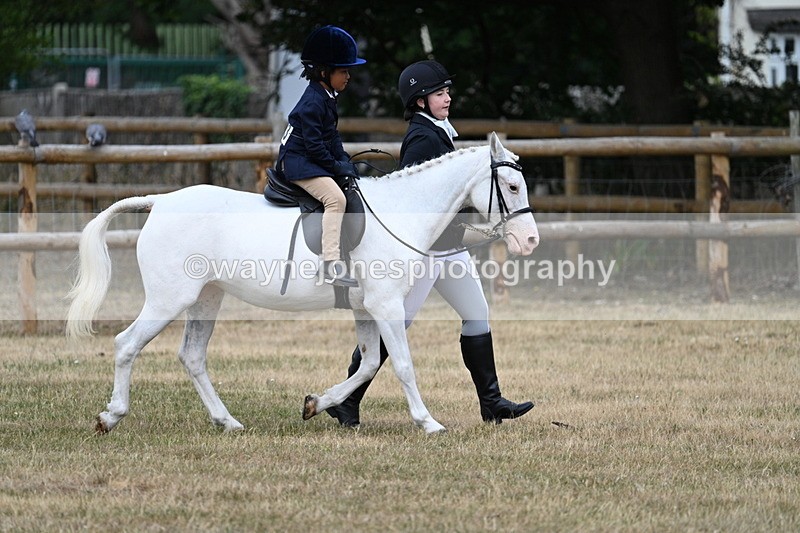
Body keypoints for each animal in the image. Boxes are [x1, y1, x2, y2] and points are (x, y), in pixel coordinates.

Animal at [66, 132, 540, 435]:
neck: (402, 211)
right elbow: (402, 365)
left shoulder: (367, 309)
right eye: (512, 186)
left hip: (206, 298)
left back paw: (228, 422)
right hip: (168, 300)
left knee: (193, 356)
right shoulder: (386, 306)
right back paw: (110, 417)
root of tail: (160, 202)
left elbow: (369, 363)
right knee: (127, 344)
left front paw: (319, 404)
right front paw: (429, 423)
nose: (531, 240)